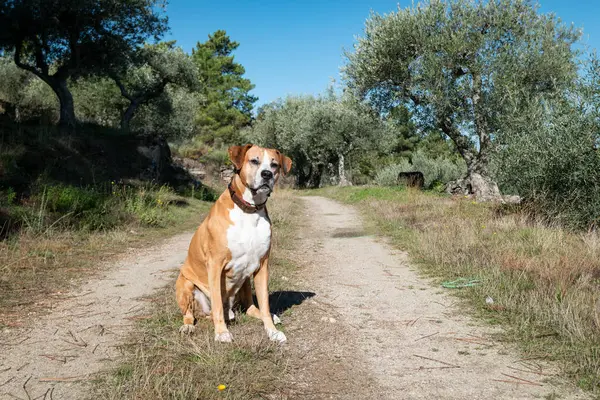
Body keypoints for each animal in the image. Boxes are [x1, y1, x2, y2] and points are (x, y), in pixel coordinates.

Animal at [175, 145, 292, 342]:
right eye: (254, 161)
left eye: (274, 164)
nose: (267, 174)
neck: (249, 211)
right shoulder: (215, 264)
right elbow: (216, 303)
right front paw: (222, 332)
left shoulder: (263, 265)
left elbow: (265, 305)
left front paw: (272, 331)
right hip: (185, 284)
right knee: (190, 314)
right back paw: (188, 327)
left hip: (244, 283)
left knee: (251, 308)